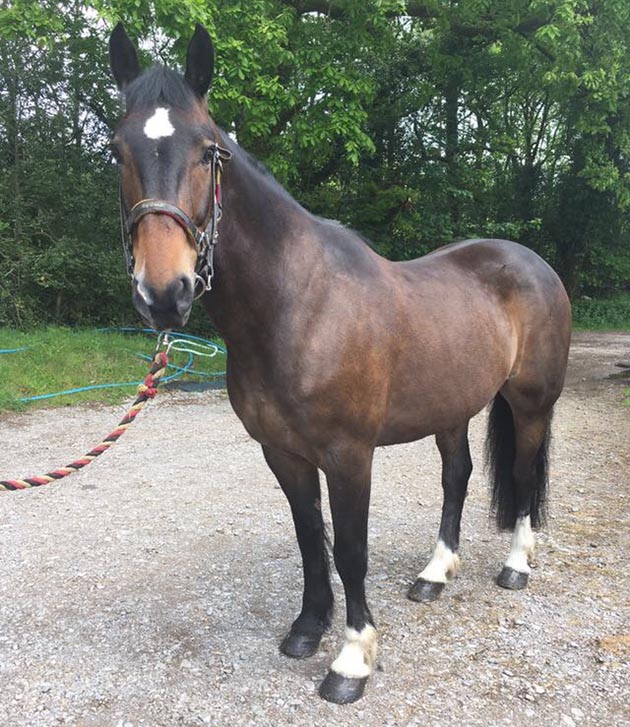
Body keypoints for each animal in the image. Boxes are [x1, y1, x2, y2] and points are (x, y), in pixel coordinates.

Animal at [108, 23, 572, 704]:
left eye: (209, 152)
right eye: (118, 151)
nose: (165, 292)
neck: (299, 305)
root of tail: (535, 264)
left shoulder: (350, 455)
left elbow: (351, 547)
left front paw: (352, 659)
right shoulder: (283, 452)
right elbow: (310, 536)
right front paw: (308, 627)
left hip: (530, 403)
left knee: (521, 471)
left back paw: (515, 565)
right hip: (452, 408)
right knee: (457, 476)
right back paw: (435, 574)